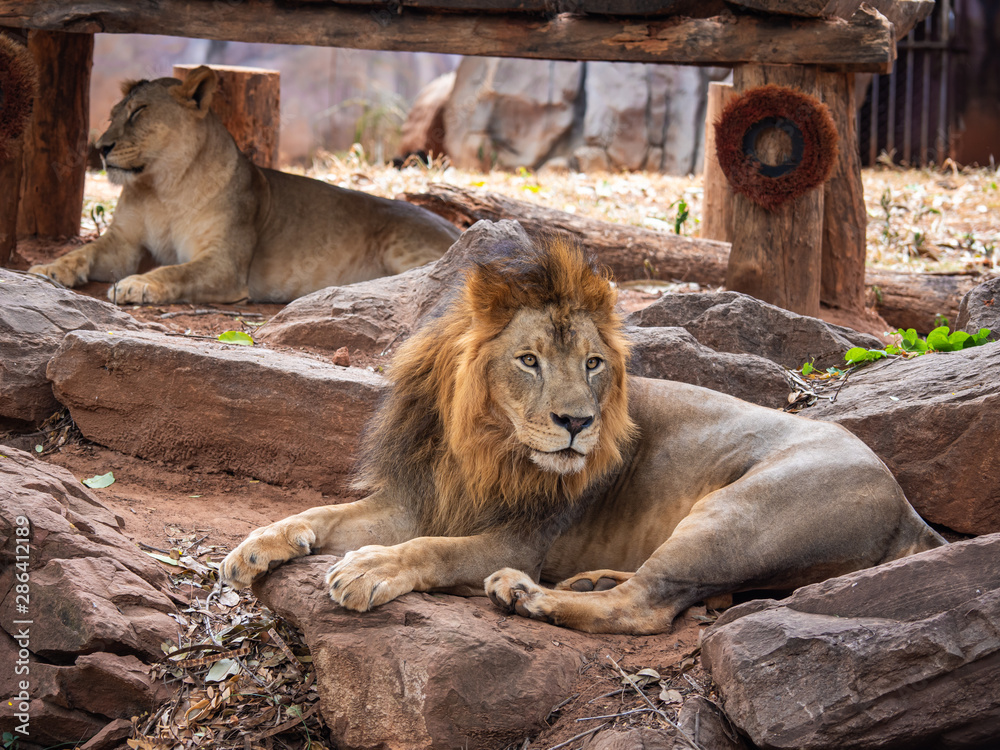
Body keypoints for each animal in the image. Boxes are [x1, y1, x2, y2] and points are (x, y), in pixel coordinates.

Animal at [29, 66, 460, 305]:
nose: (100, 149)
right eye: (114, 114)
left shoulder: (225, 263)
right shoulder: (123, 243)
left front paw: (136, 286)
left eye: (138, 113)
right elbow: (83, 252)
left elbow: (175, 272)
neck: (164, 187)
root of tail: (459, 228)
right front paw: (48, 268)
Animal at [221, 237, 945, 634]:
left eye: (594, 364)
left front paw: (371, 568)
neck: (481, 443)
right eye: (529, 360)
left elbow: (434, 550)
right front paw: (253, 548)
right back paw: (588, 582)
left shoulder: (520, 537)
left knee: (649, 606)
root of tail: (908, 505)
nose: (577, 424)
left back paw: (530, 595)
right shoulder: (417, 497)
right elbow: (323, 514)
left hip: (739, 512)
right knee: (673, 592)